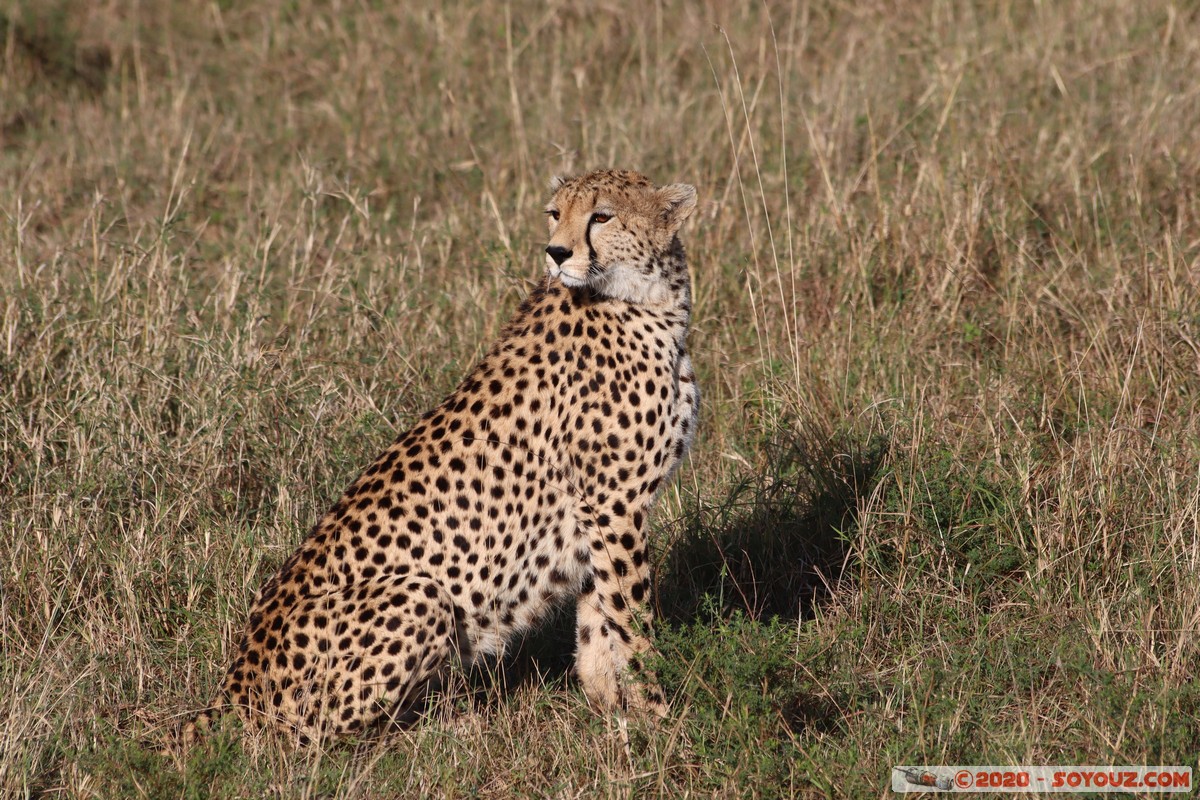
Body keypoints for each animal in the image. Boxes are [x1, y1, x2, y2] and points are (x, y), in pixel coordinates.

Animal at [182, 169, 700, 743]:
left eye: (602, 216)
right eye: (554, 213)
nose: (557, 252)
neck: (646, 297)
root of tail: (234, 684)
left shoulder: (597, 514)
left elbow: (598, 626)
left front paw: (614, 711)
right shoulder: (613, 504)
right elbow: (630, 620)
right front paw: (661, 714)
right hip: (420, 595)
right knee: (312, 739)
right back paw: (448, 729)